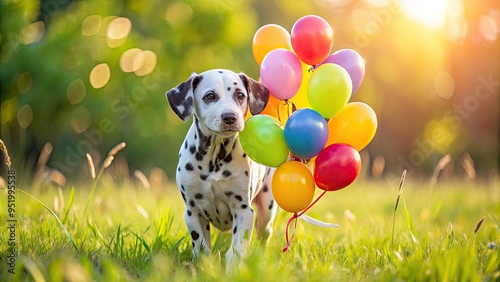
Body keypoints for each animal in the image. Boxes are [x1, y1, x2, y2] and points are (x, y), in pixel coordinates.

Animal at [167, 69, 278, 268]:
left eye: (240, 95)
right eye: (210, 96)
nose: (230, 117)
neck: (214, 157)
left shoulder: (243, 210)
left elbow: (237, 248)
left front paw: (234, 268)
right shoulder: (192, 212)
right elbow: (201, 247)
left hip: (267, 210)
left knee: (264, 236)